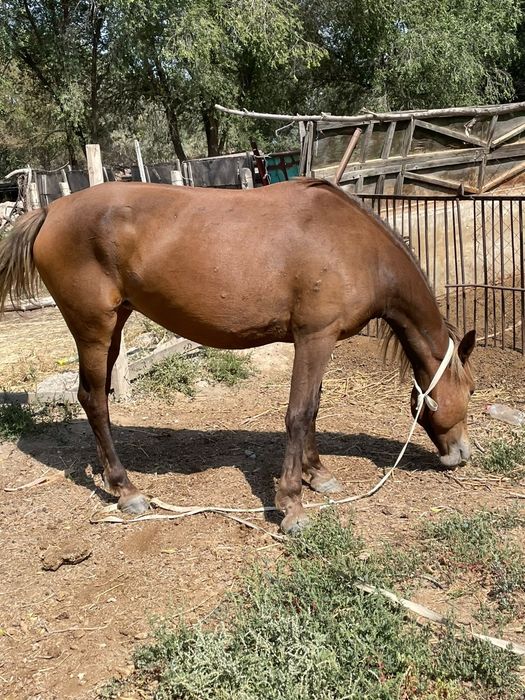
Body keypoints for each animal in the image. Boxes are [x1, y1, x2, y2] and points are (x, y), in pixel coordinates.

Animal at [0, 178, 475, 534]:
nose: (462, 453)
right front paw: (291, 504)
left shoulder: (322, 341)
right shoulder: (314, 338)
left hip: (114, 325)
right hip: (93, 329)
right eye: (470, 389)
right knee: (94, 399)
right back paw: (126, 489)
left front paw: (317, 474)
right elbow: (299, 413)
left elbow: (314, 408)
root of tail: (50, 212)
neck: (355, 246)